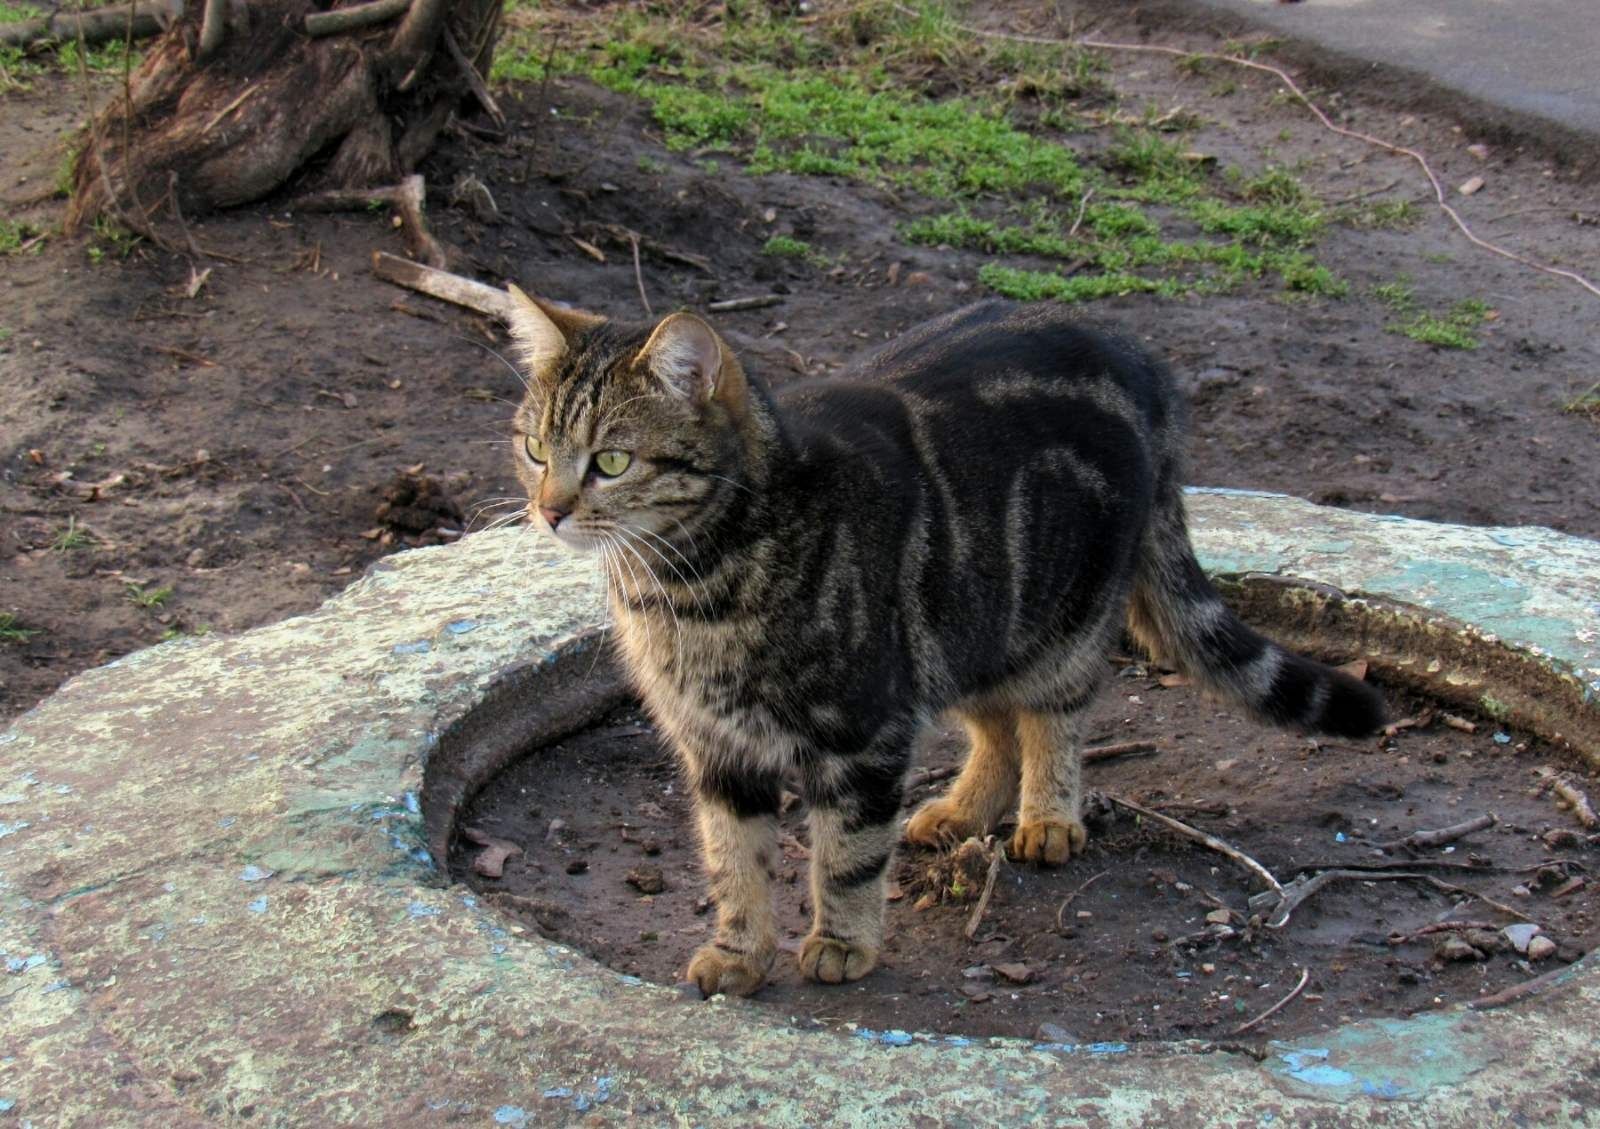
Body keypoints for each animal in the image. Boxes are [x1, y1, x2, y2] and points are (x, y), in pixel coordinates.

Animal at [505, 291, 1382, 991]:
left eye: (612, 460)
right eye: (536, 448)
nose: (548, 510)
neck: (689, 589)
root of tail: (1141, 359)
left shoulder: (864, 732)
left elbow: (847, 853)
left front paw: (841, 941)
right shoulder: (717, 748)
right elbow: (734, 861)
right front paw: (739, 950)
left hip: (1060, 619)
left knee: (1053, 719)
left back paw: (1049, 816)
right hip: (967, 627)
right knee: (996, 729)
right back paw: (961, 809)